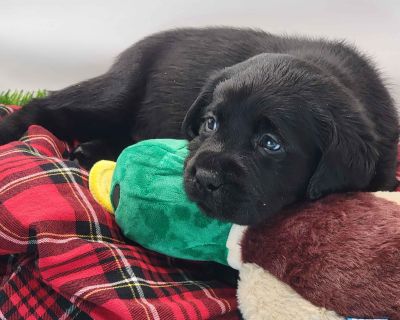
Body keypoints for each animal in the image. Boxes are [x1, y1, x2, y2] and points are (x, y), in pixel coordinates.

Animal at [0, 28, 398, 225]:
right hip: (113, 95)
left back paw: (92, 150)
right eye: (210, 122)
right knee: (44, 106)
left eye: (271, 143)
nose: (205, 179)